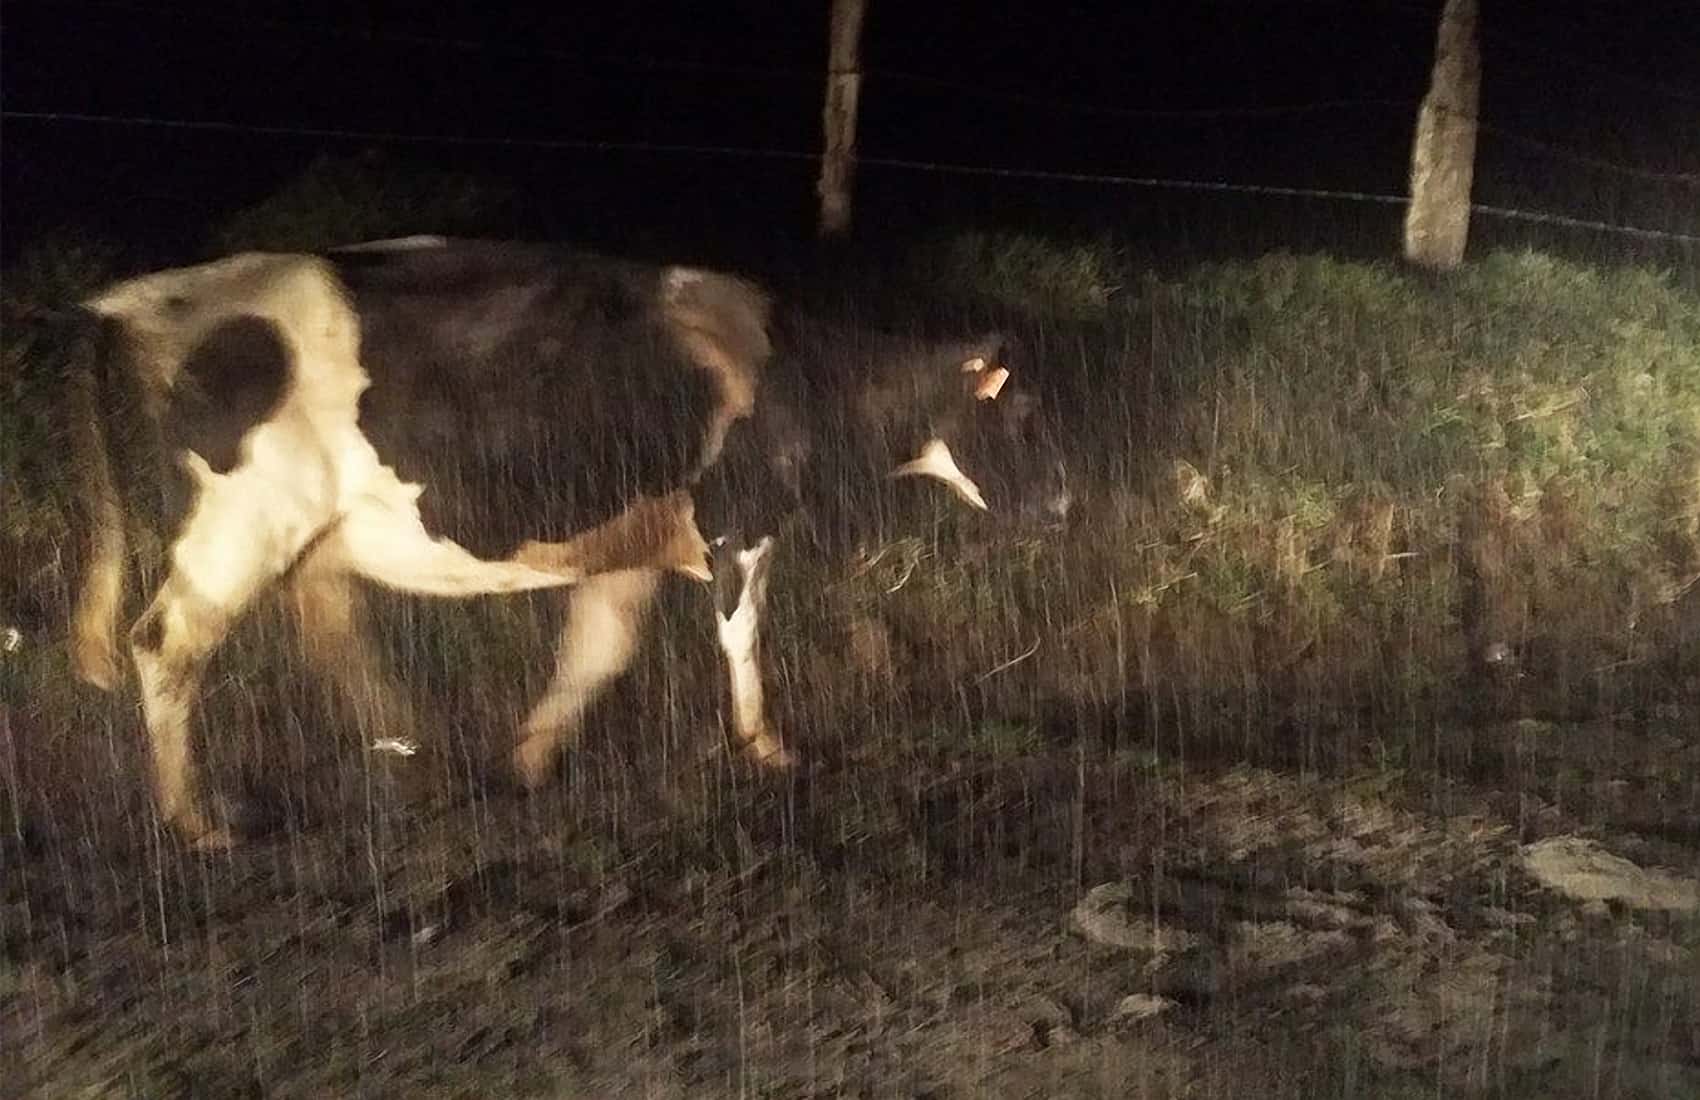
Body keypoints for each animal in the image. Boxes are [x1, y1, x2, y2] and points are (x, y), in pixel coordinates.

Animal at [69, 236, 1074, 846]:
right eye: (1024, 413)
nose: (1066, 504)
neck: (802, 374)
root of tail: (144, 300)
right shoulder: (740, 523)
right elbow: (740, 635)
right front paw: (768, 747)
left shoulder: (628, 556)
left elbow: (598, 653)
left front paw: (528, 761)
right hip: (241, 523)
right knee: (164, 645)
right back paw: (197, 822)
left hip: (301, 539)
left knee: (336, 646)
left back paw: (417, 762)